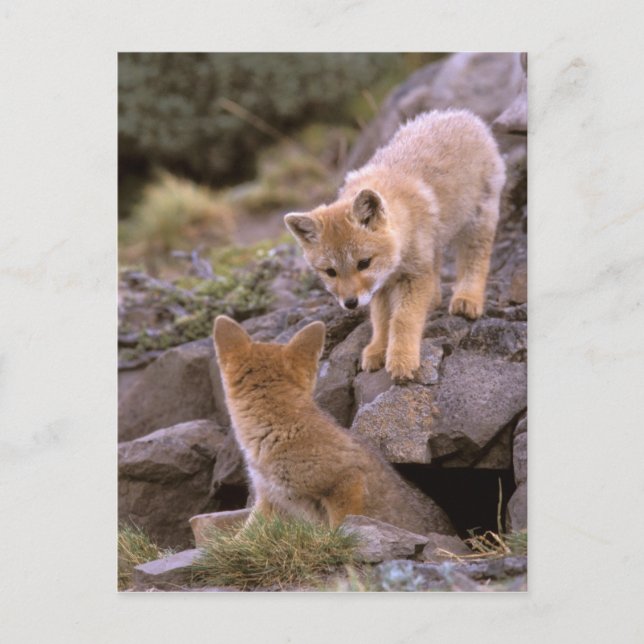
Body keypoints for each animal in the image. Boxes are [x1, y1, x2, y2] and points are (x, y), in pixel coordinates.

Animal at [285, 109, 506, 380]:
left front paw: (402, 358)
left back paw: (467, 298)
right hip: (434, 243)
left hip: (476, 224)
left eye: (363, 263)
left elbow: (402, 319)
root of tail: (461, 115)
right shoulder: (382, 285)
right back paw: (435, 299)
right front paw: (378, 349)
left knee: (475, 261)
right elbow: (381, 321)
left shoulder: (414, 275)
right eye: (330, 272)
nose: (350, 303)